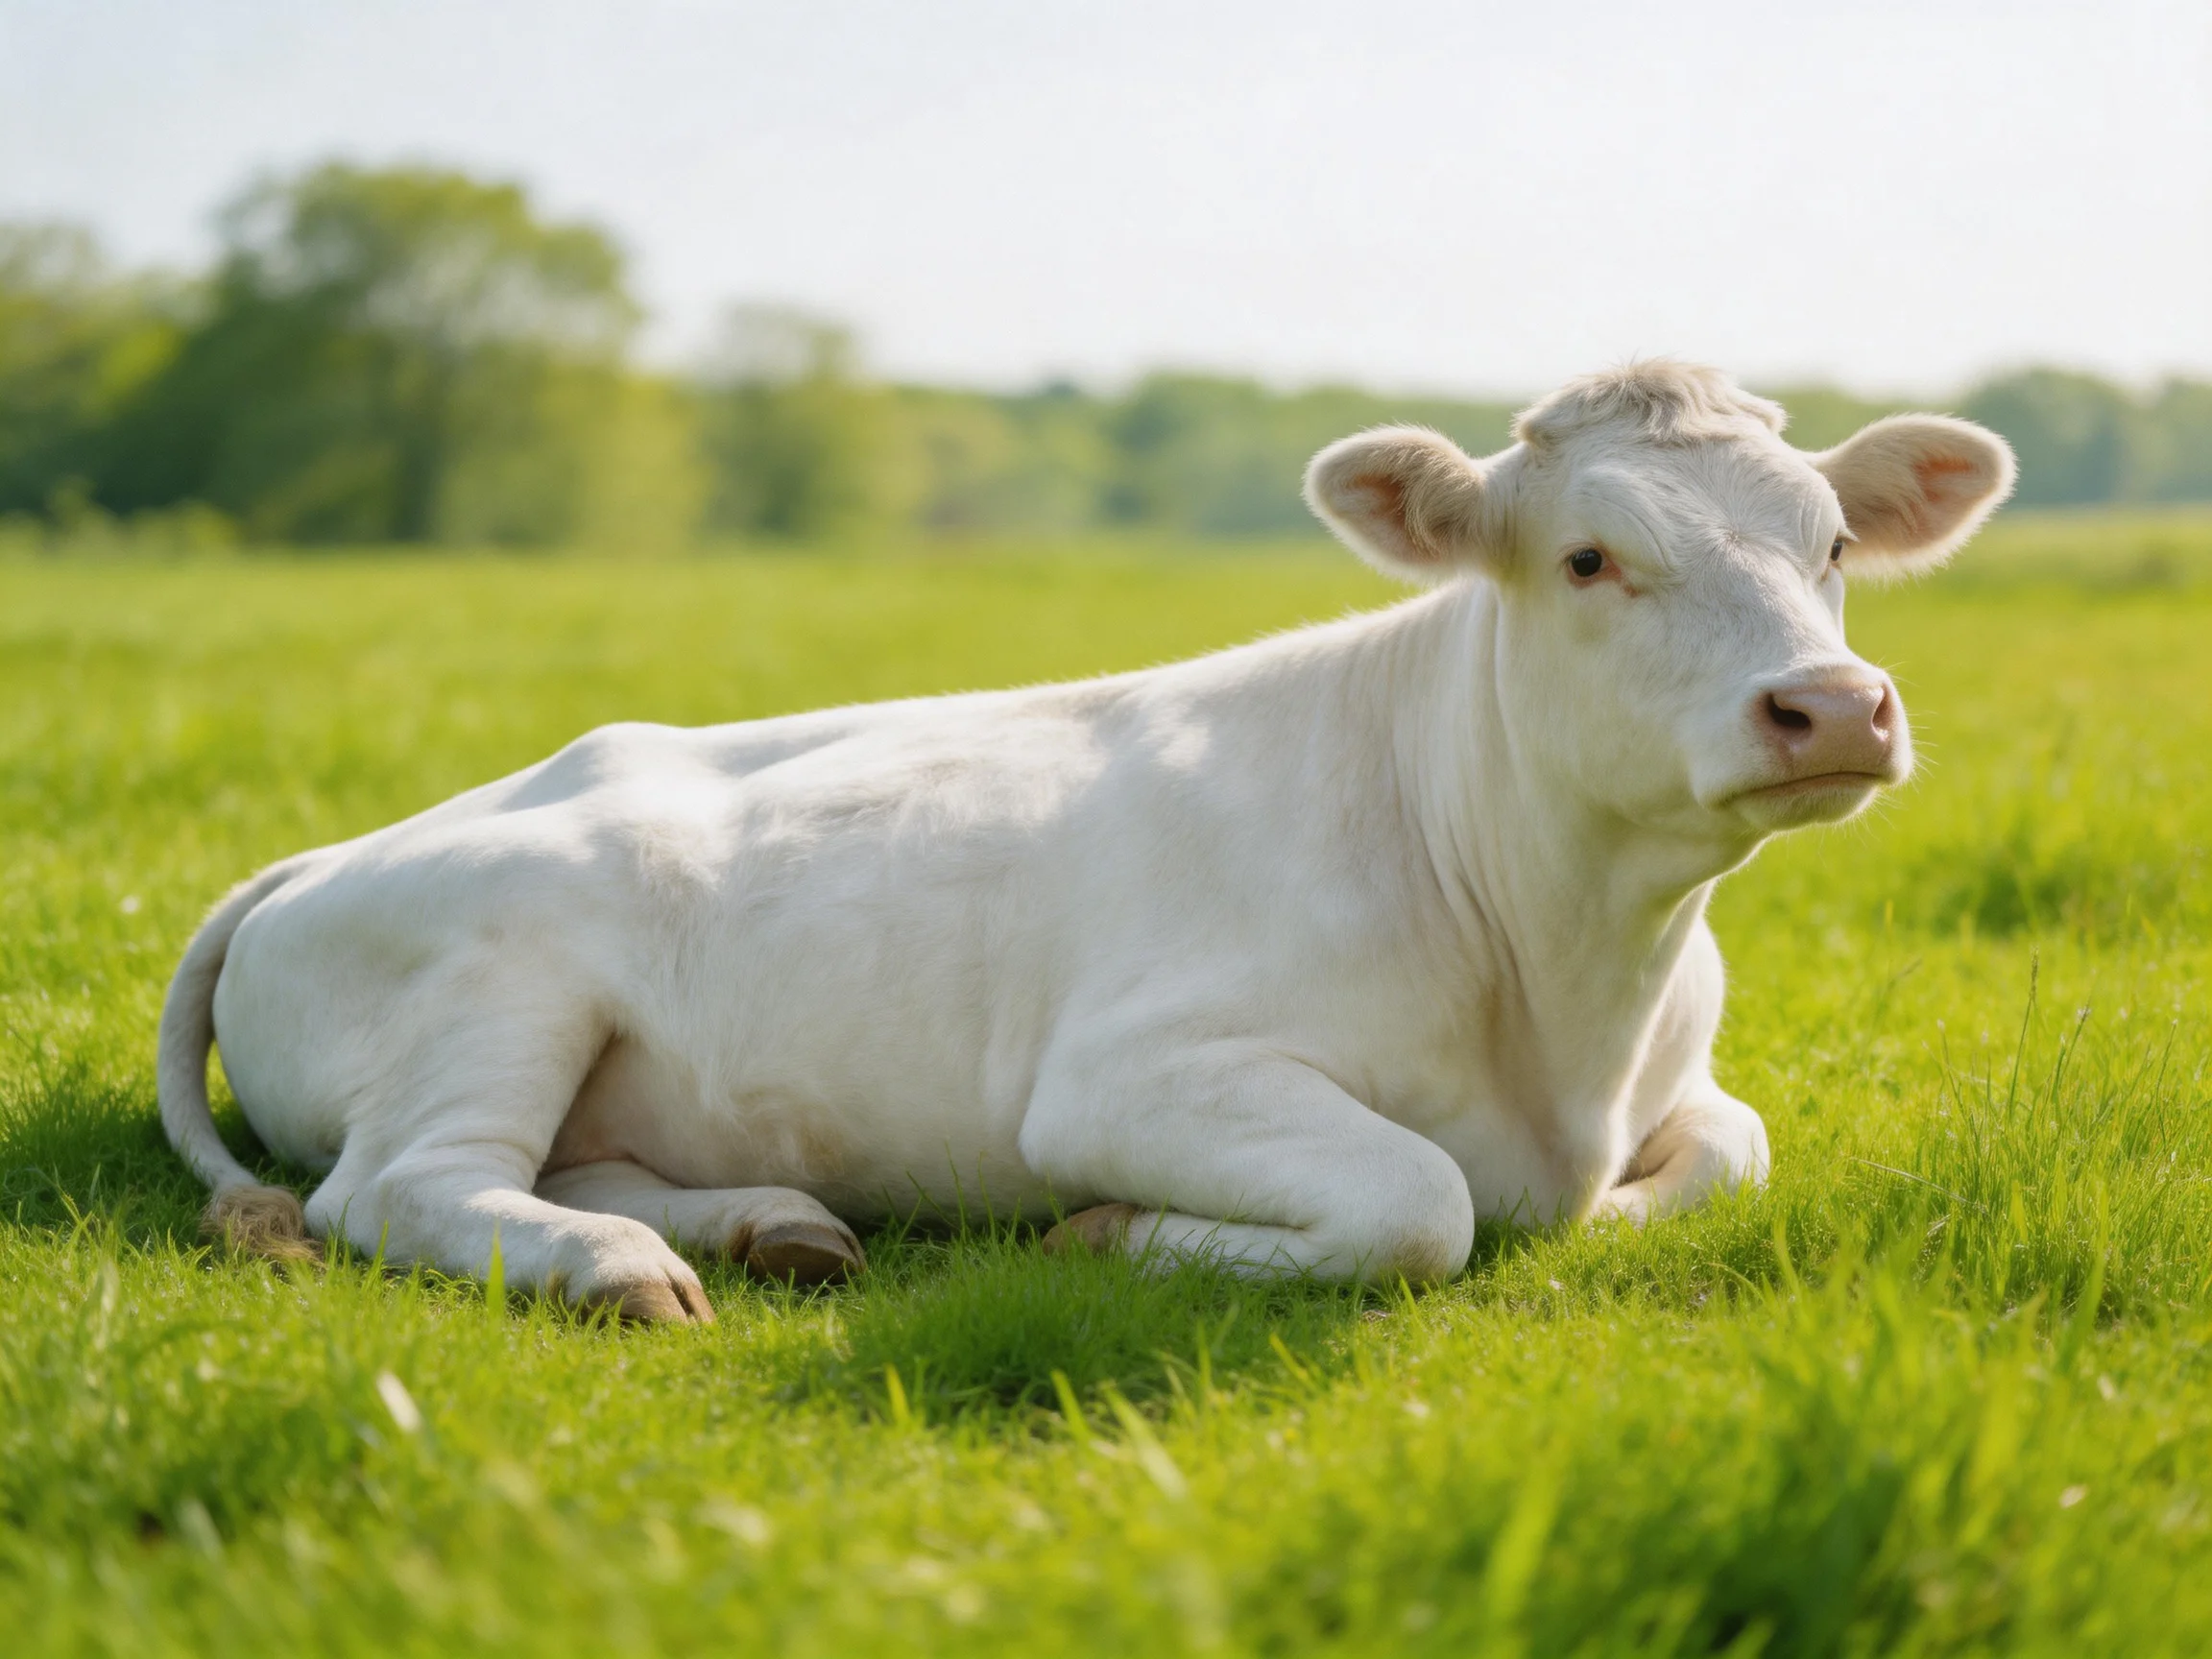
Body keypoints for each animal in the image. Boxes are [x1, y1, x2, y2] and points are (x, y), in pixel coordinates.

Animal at [158, 362, 2014, 1322]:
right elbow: (1422, 1203)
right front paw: (1106, 1233)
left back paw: (770, 1223)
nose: (1832, 705)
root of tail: (318, 859)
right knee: (394, 1185)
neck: (1573, 998)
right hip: (500, 972)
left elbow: (1725, 1151)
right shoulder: (1128, 1074)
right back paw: (620, 1268)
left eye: (1831, 542)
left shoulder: (1682, 1086)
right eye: (1586, 558)